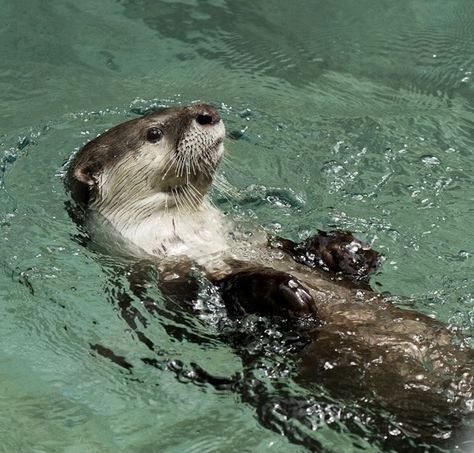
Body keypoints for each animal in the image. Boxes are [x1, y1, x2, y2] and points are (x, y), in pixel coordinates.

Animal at [65, 103, 474, 448]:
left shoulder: (260, 239)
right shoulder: (173, 284)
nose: (206, 111)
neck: (194, 240)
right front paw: (281, 289)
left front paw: (343, 249)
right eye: (153, 132)